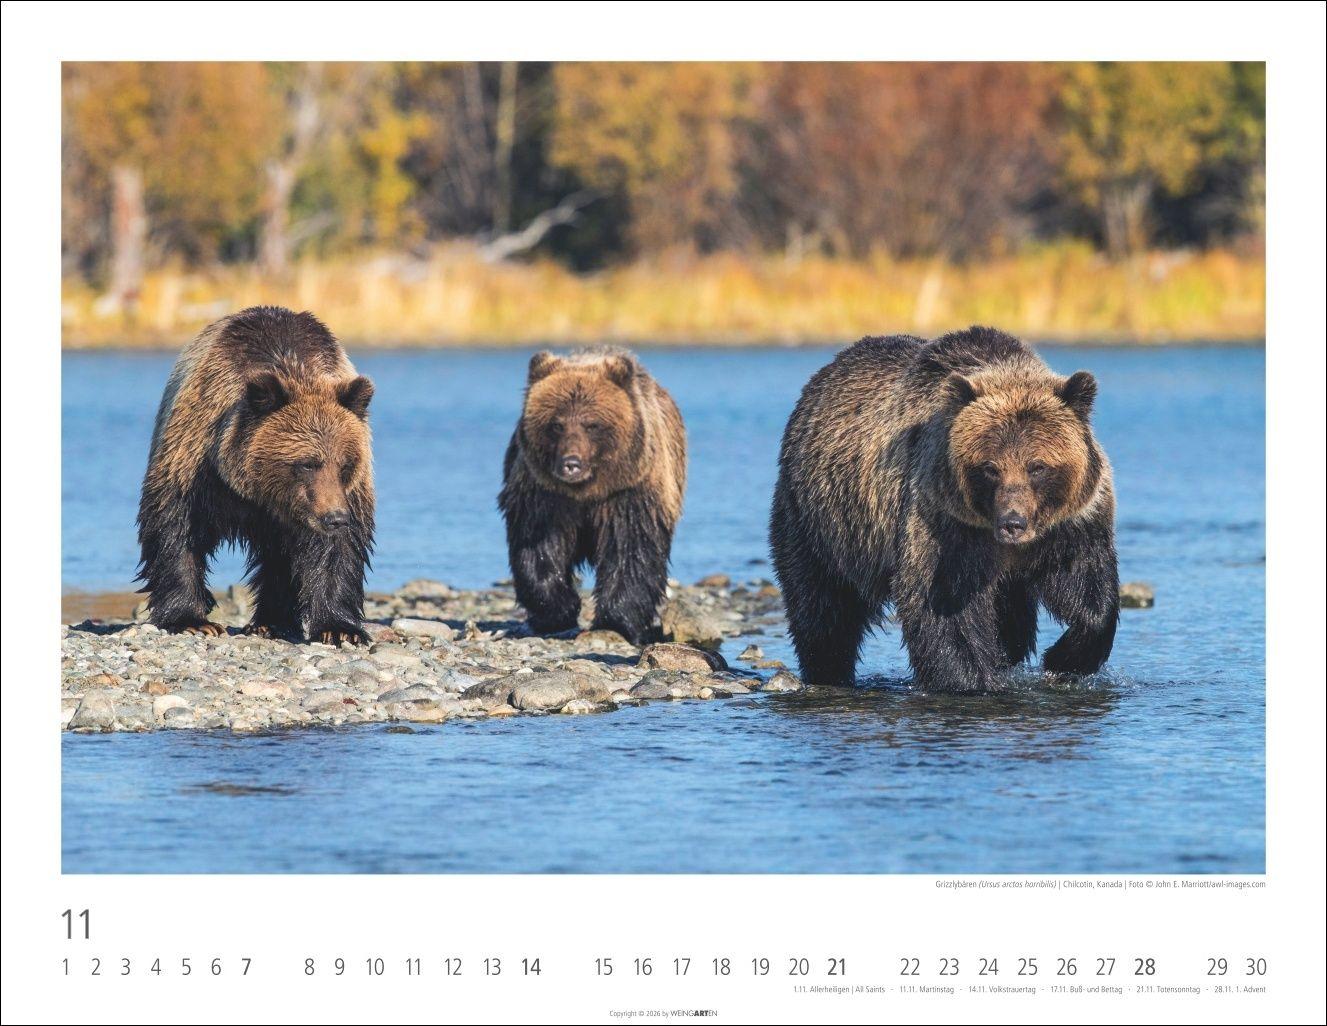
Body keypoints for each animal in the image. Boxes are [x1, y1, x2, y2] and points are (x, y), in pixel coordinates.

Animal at [136, 306, 376, 644]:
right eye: (307, 463)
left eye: (345, 464)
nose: (335, 518)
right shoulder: (196, 463)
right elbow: (176, 527)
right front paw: (190, 620)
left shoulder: (348, 493)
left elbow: (338, 550)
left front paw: (340, 628)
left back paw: (272, 623)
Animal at [498, 349, 687, 645]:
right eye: (557, 424)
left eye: (592, 424)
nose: (570, 463)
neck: (587, 490)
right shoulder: (543, 494)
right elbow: (537, 547)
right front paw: (558, 610)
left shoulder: (628, 495)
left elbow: (631, 551)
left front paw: (617, 620)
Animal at [769, 326, 1118, 692]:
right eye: (990, 468)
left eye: (1037, 466)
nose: (1013, 523)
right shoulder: (943, 522)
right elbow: (941, 606)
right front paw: (971, 680)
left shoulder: (1071, 525)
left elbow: (1088, 586)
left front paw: (1064, 658)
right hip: (820, 520)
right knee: (822, 605)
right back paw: (828, 670)